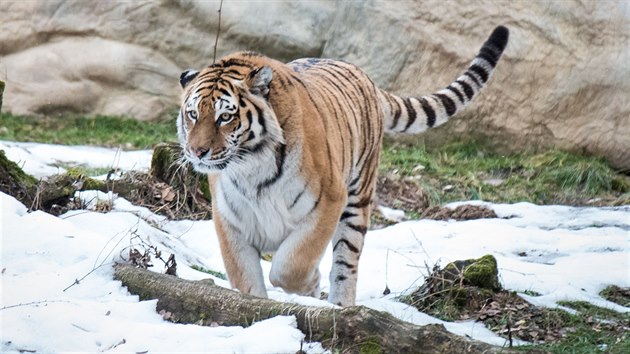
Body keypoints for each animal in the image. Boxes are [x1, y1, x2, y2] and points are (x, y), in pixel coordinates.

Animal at [177, 26, 508, 306]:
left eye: (225, 117)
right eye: (193, 114)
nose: (197, 152)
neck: (250, 167)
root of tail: (363, 75)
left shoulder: (328, 199)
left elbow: (293, 262)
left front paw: (310, 284)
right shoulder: (230, 219)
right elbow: (245, 280)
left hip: (357, 198)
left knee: (345, 263)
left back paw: (340, 307)